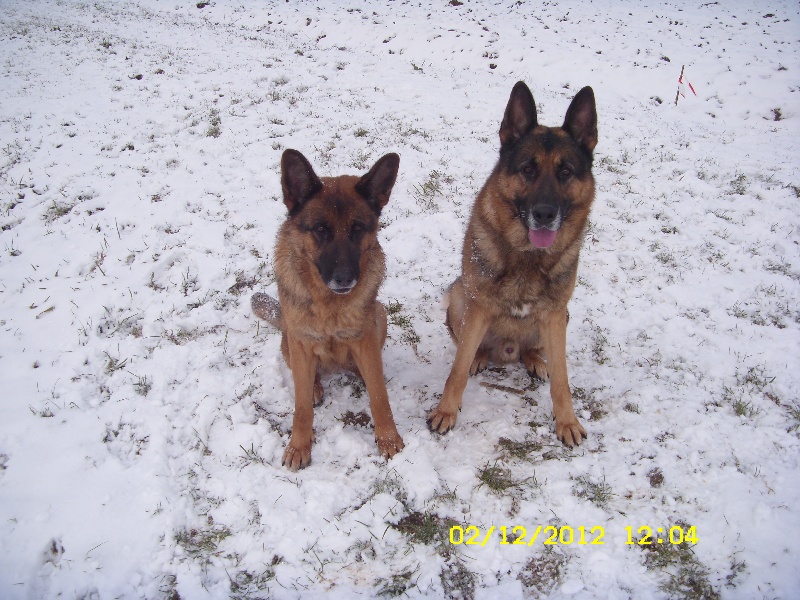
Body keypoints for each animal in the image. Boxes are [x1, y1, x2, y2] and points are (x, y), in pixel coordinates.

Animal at [253, 149, 406, 468]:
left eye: (358, 229)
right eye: (320, 230)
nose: (345, 278)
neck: (329, 305)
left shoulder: (365, 339)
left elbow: (380, 397)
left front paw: (388, 438)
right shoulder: (301, 342)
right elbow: (300, 408)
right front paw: (299, 446)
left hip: (380, 315)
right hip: (289, 340)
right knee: (305, 378)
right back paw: (314, 386)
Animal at [428, 81, 596, 446]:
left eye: (565, 172)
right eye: (527, 169)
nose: (544, 214)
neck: (527, 257)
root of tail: (507, 351)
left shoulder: (554, 314)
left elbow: (562, 379)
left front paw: (567, 421)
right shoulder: (478, 307)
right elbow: (456, 370)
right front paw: (446, 411)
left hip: (562, 317)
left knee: (534, 350)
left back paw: (534, 359)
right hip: (460, 297)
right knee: (470, 347)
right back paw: (480, 356)